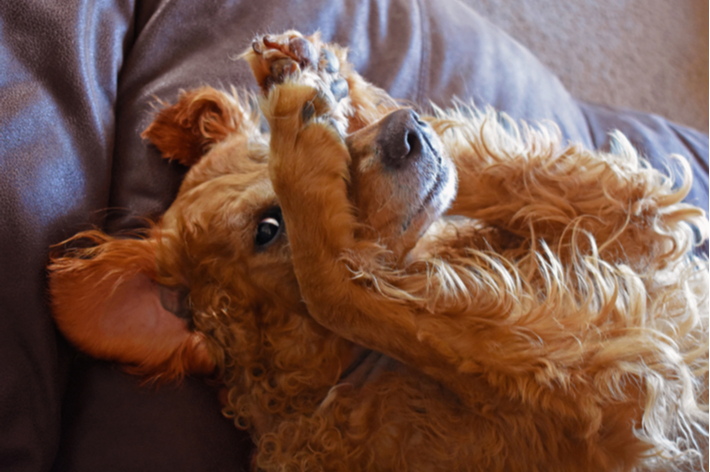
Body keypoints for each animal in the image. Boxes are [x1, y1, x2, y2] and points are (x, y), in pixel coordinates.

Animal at [47, 31, 708, 470]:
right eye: (268, 229)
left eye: (262, 149)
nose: (407, 134)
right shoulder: (611, 402)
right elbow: (344, 294)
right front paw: (305, 139)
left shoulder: (635, 236)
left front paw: (317, 77)